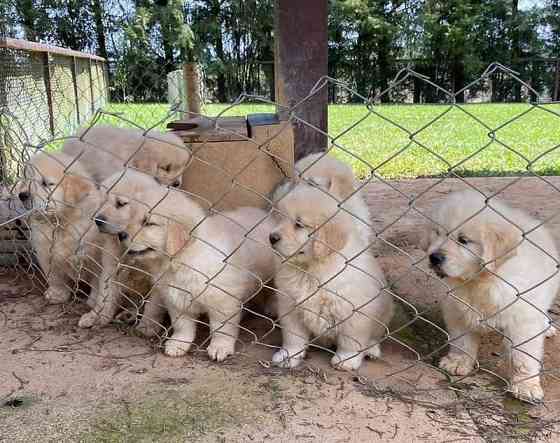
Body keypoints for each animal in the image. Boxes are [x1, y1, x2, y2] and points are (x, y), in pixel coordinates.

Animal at [17, 151, 118, 306]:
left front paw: (93, 300)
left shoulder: (95, 257)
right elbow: (55, 277)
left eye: (46, 183)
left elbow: (96, 281)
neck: (61, 223)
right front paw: (57, 294)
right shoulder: (46, 252)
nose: (22, 195)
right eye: (27, 180)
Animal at [268, 180, 392, 372]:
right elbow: (293, 336)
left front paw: (346, 360)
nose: (271, 238)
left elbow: (351, 340)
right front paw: (288, 355)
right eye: (279, 218)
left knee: (374, 336)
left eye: (299, 224)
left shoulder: (353, 310)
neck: (311, 269)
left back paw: (372, 349)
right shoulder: (290, 306)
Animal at [424, 189, 560, 404]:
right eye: (437, 233)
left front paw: (526, 386)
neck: (480, 280)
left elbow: (523, 356)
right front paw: (458, 362)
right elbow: (461, 340)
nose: (434, 257)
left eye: (463, 240)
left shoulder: (523, 318)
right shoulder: (457, 309)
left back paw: (546, 327)